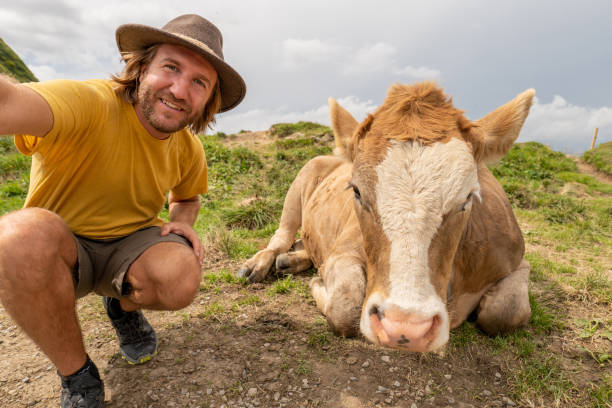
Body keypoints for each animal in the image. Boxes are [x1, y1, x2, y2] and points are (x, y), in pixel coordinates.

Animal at [237, 81, 532, 352]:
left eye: (468, 197)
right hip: (303, 177)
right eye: (356, 190)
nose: (405, 327)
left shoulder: (516, 257)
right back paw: (261, 263)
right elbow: (345, 305)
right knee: (282, 235)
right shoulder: (344, 250)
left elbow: (506, 310)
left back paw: (291, 260)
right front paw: (317, 284)